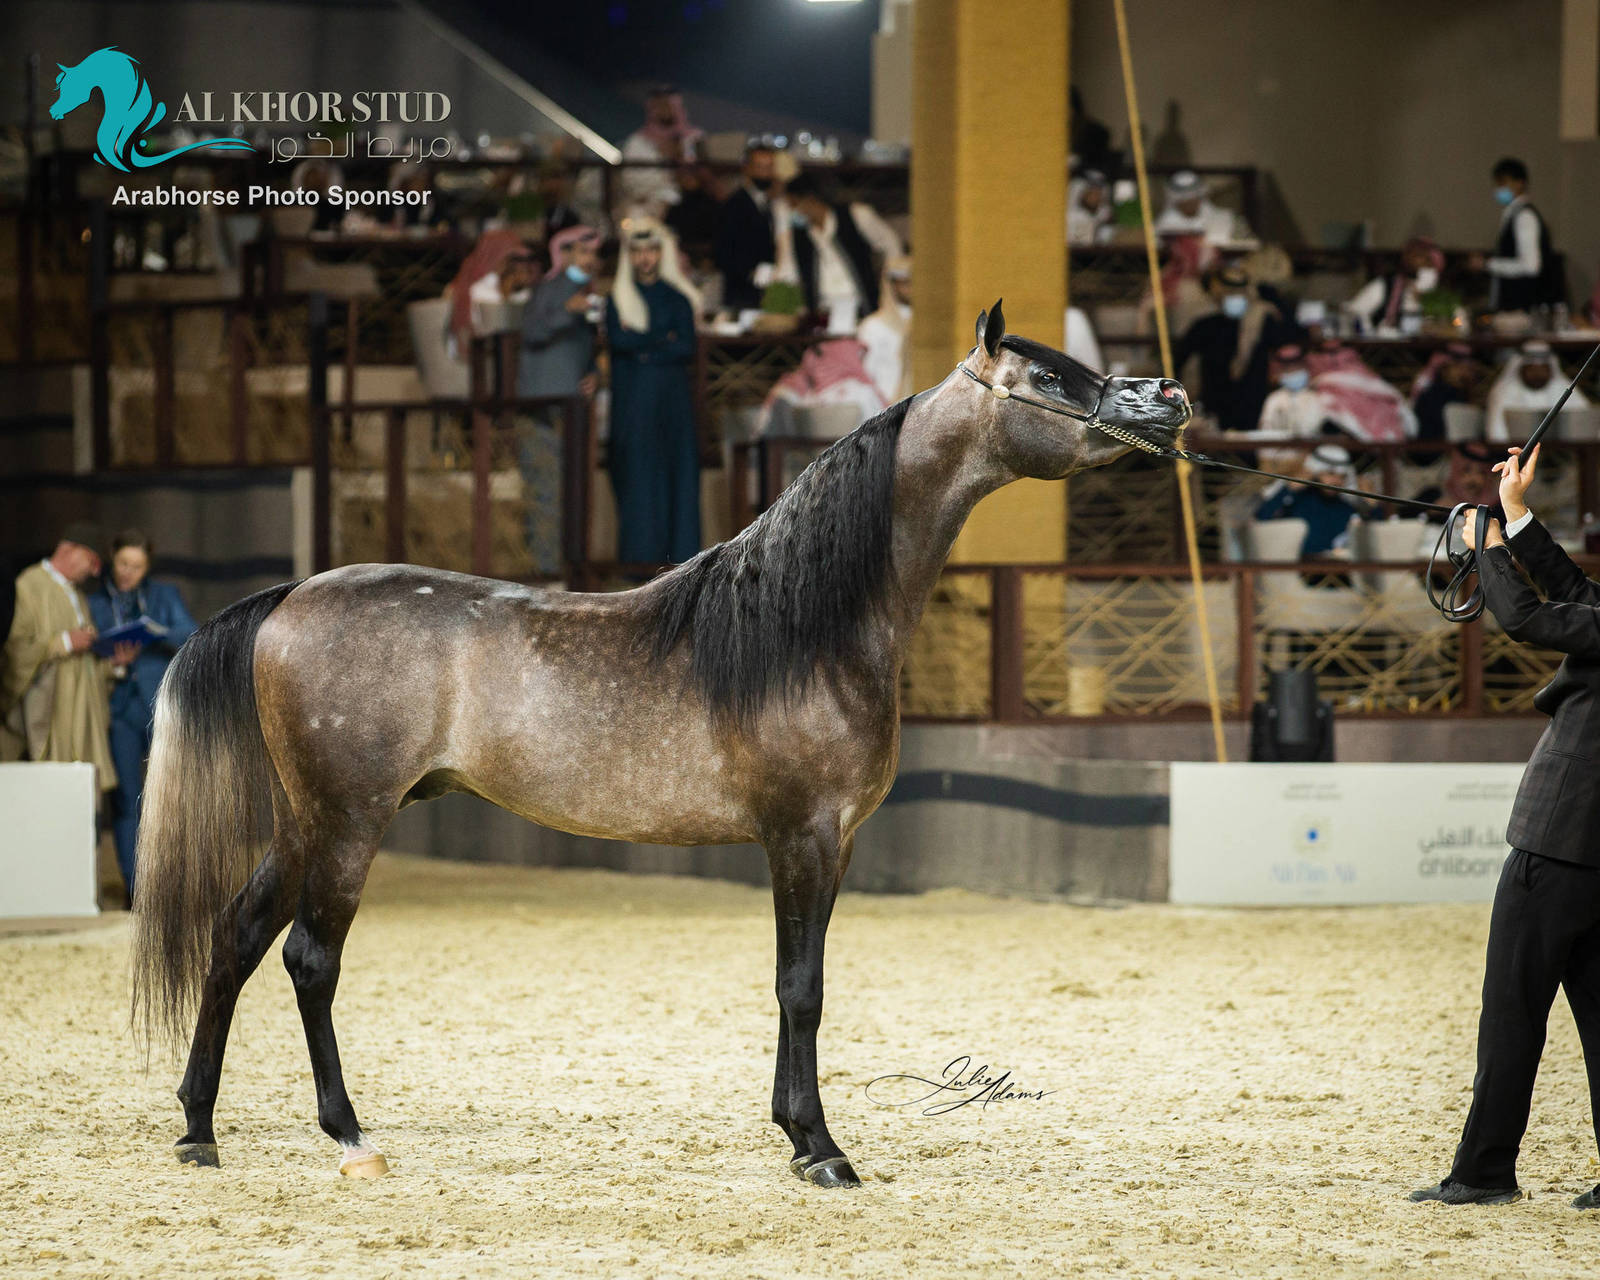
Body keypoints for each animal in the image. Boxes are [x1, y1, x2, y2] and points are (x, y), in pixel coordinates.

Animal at [131, 301, 1191, 1186]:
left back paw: (199, 1130)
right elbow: (801, 987)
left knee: (234, 936)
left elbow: (798, 984)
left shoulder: (837, 844)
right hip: (349, 820)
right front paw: (821, 1150)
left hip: (304, 820)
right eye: (1049, 376)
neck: (804, 625)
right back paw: (349, 1135)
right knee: (309, 959)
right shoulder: (802, 837)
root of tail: (291, 597)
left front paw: (797, 1133)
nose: (1168, 400)